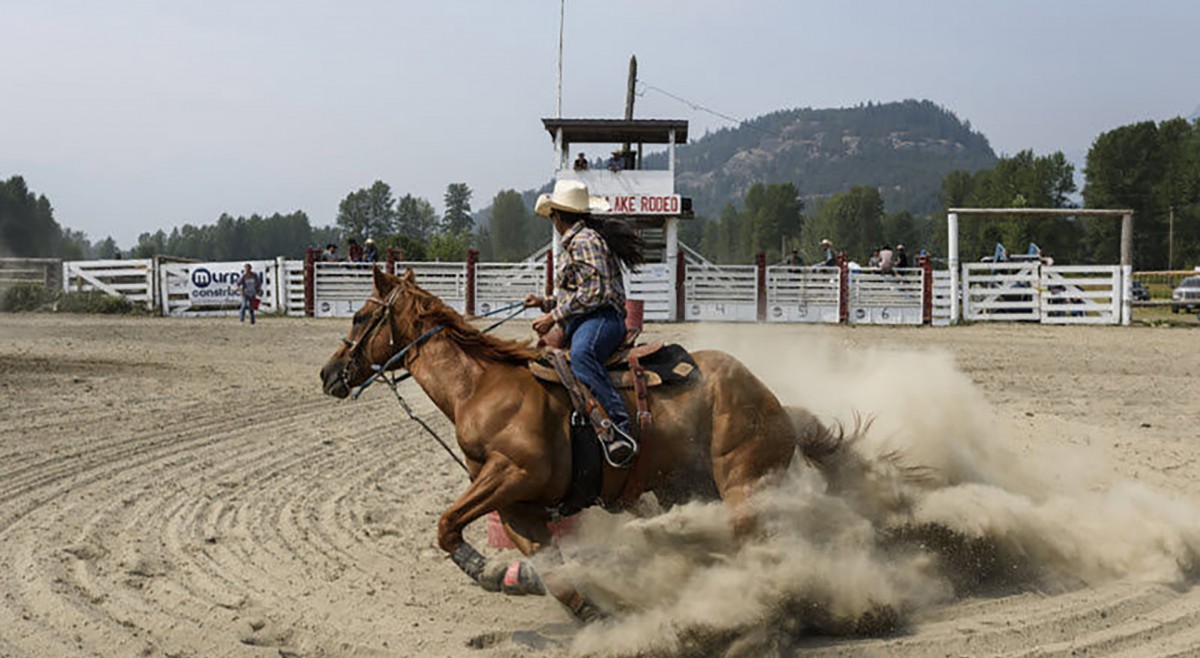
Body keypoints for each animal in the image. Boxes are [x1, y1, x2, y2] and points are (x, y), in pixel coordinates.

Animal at [314, 268, 830, 624]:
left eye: (361, 316)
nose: (328, 373)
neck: (480, 389)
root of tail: (773, 400)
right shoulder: (519, 506)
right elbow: (555, 574)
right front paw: (569, 603)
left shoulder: (512, 474)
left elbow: (446, 524)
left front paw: (481, 568)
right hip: (684, 486)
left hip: (743, 484)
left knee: (753, 547)